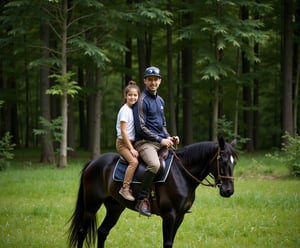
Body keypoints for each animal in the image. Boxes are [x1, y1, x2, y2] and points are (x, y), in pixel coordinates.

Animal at [68, 138, 237, 248]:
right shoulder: (169, 215)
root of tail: (93, 162)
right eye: (223, 161)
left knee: (102, 232)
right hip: (91, 205)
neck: (181, 173)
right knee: (82, 231)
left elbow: (171, 242)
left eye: (234, 162)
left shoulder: (180, 216)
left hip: (115, 207)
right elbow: (167, 243)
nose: (228, 191)